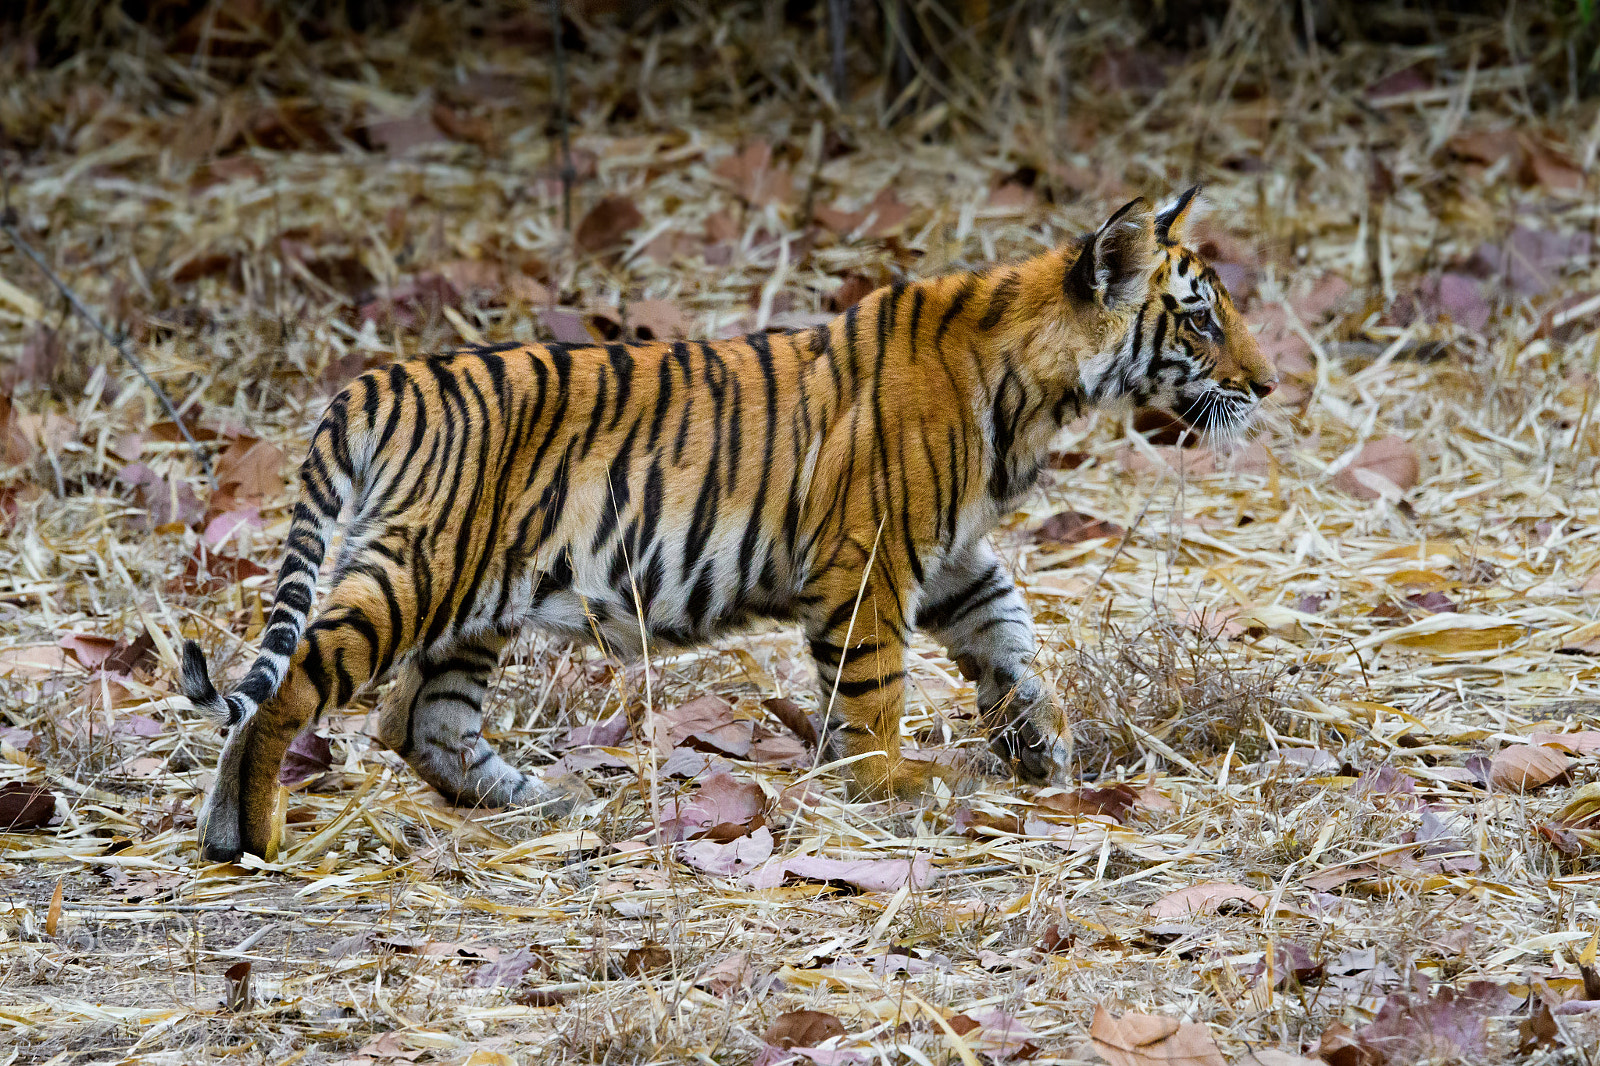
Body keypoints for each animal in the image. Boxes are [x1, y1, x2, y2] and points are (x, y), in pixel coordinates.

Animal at [181, 187, 1276, 862]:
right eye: (1201, 318)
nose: (1268, 386)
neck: (1037, 389)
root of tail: (375, 382)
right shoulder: (870, 557)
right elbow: (874, 685)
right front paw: (891, 781)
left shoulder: (956, 556)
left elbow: (1010, 643)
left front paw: (1044, 752)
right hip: (416, 573)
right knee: (291, 691)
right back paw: (249, 834)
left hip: (473, 602)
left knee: (422, 720)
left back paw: (542, 802)